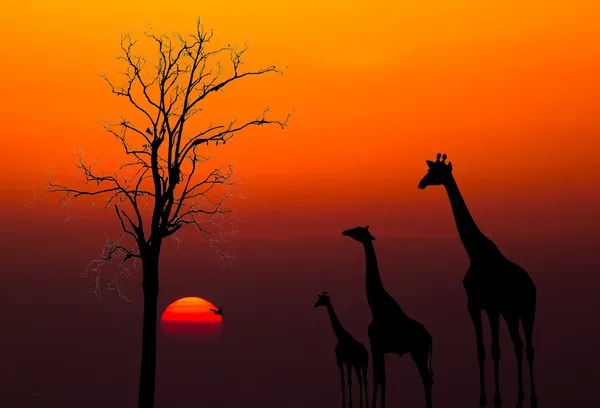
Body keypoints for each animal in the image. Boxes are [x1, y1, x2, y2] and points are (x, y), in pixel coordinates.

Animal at [342, 225, 436, 408]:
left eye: (358, 230)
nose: (345, 232)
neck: (375, 305)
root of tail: (429, 337)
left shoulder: (375, 343)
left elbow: (378, 378)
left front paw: (376, 405)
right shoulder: (380, 347)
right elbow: (381, 378)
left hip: (418, 352)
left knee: (427, 379)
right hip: (418, 353)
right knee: (427, 379)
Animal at [418, 154, 540, 408]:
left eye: (434, 172)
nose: (421, 183)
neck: (474, 252)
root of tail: (532, 284)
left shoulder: (486, 307)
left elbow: (492, 350)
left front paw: (493, 398)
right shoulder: (480, 307)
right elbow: (484, 349)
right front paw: (488, 397)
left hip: (526, 310)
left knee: (528, 347)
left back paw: (531, 398)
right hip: (513, 312)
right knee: (520, 345)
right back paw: (522, 397)